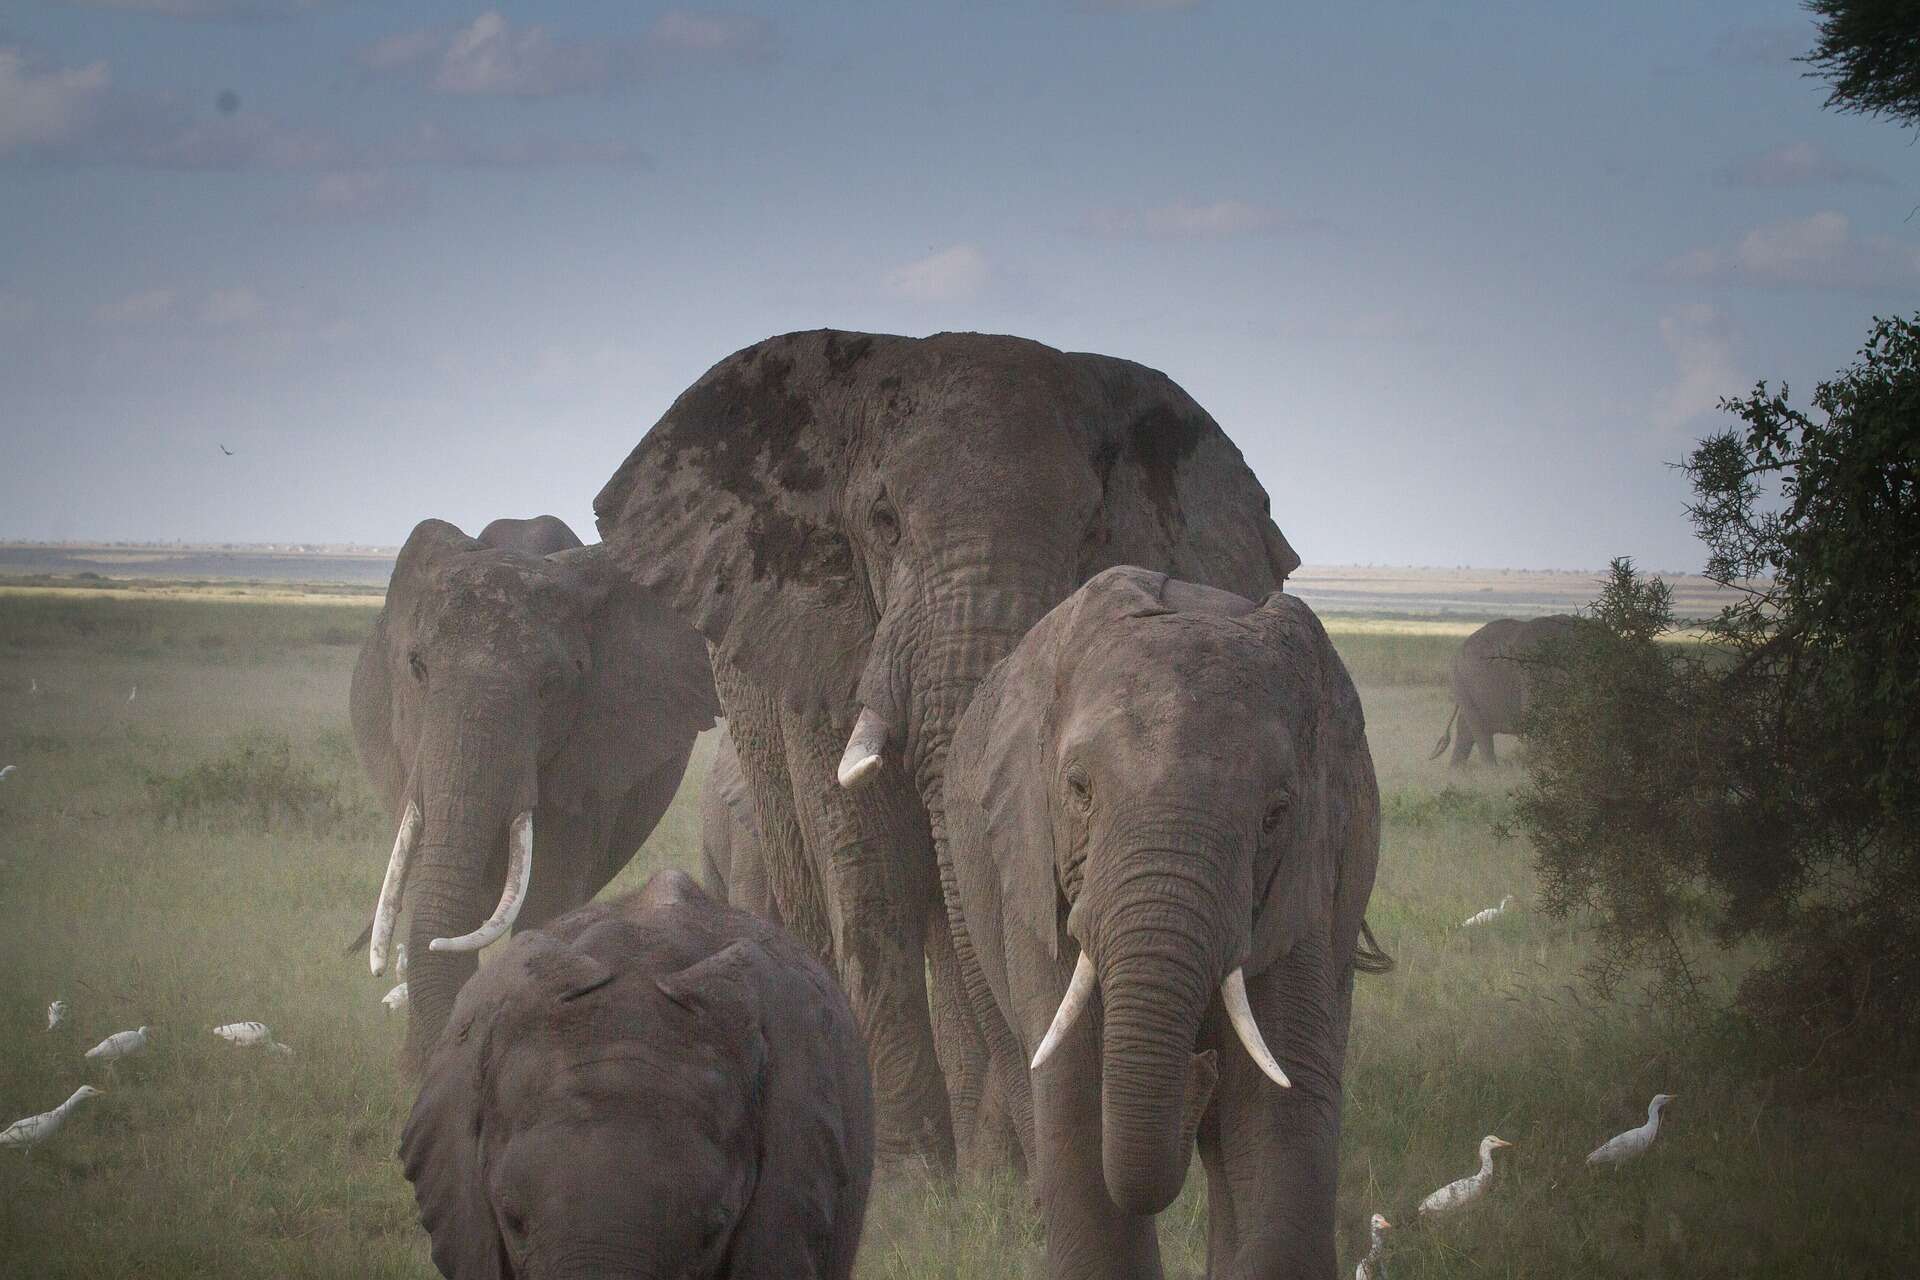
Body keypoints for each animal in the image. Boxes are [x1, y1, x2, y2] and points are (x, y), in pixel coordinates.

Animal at [591, 333, 1297, 1182]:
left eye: (1094, 529)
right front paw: (913, 1177)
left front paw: (999, 1175)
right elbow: (874, 872)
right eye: (885, 521)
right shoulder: (829, 643)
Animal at [940, 571, 1382, 1280]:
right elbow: (1073, 1088)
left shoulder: (1308, 880)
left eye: (1276, 813)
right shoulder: (1036, 870)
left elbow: (1278, 1106)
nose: (1199, 1071)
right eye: (1079, 789)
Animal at [1428, 614, 1589, 767]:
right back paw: (1492, 771)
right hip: (1461, 680)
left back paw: (1455, 771)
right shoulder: (1531, 672)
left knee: (1466, 727)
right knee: (1479, 730)